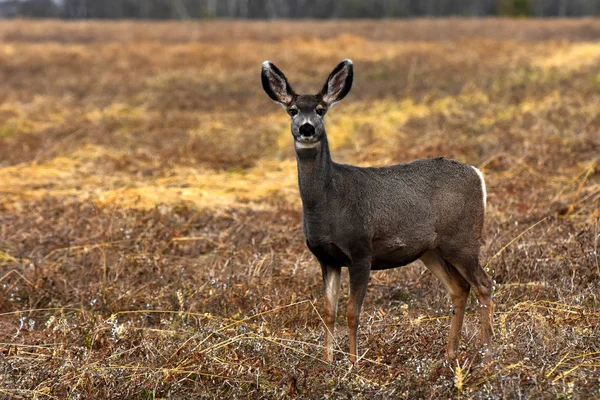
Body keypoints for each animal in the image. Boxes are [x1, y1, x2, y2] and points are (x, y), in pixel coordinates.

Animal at [260, 58, 494, 362]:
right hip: (431, 250)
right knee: (459, 288)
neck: (329, 201)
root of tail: (478, 174)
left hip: (462, 239)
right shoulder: (327, 258)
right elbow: (329, 312)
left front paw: (353, 363)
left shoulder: (361, 251)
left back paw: (487, 351)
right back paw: (450, 354)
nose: (307, 128)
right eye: (292, 110)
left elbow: (352, 314)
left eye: (321, 109)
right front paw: (327, 362)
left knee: (484, 285)